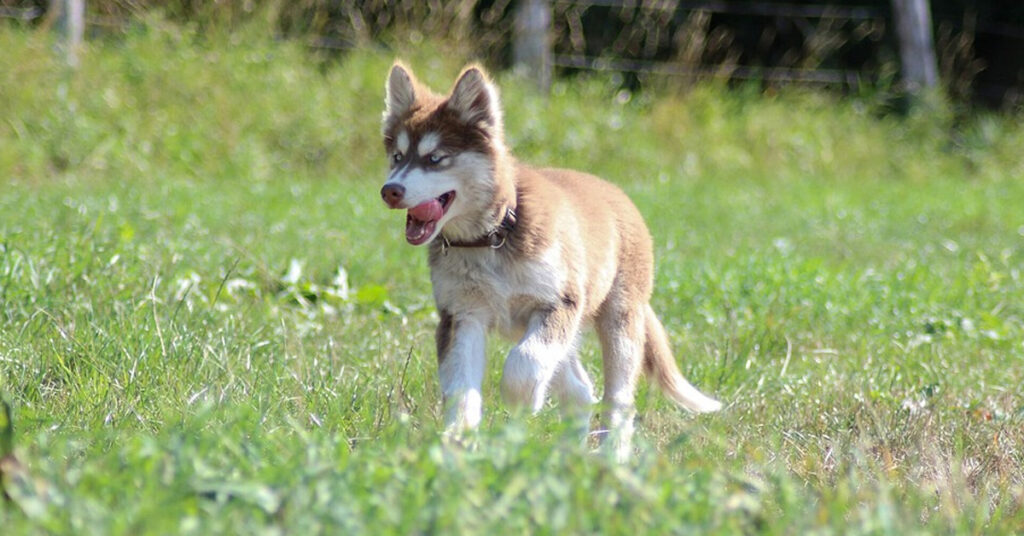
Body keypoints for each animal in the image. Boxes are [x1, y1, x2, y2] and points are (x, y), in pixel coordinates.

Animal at [380, 62, 724, 457]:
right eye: (397, 157)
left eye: (436, 158)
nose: (390, 191)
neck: (491, 239)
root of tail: (617, 194)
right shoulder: (461, 315)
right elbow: (460, 390)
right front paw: (457, 446)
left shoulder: (558, 302)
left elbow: (523, 363)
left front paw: (522, 401)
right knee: (581, 390)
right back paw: (567, 454)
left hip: (618, 321)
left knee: (618, 398)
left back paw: (613, 455)